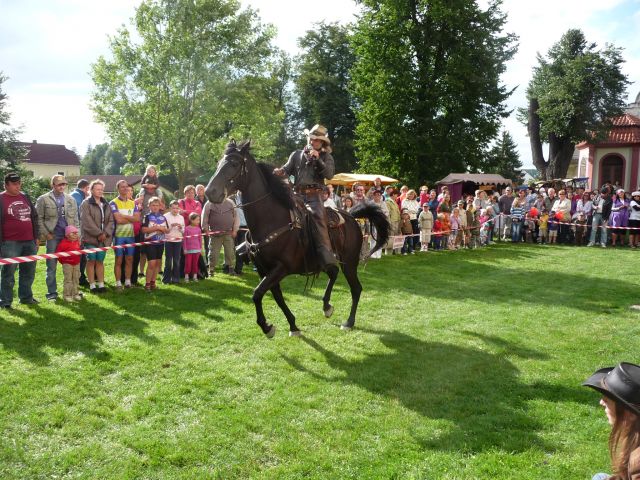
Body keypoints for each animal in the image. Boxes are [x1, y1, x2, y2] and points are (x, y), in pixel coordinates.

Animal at [205, 141, 390, 338]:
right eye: (219, 163)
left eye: (234, 163)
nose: (210, 192)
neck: (271, 220)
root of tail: (351, 217)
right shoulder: (264, 270)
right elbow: (275, 296)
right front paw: (292, 326)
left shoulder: (281, 268)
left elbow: (257, 293)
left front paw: (267, 327)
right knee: (333, 273)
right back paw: (326, 306)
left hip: (349, 262)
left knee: (355, 288)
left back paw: (349, 322)